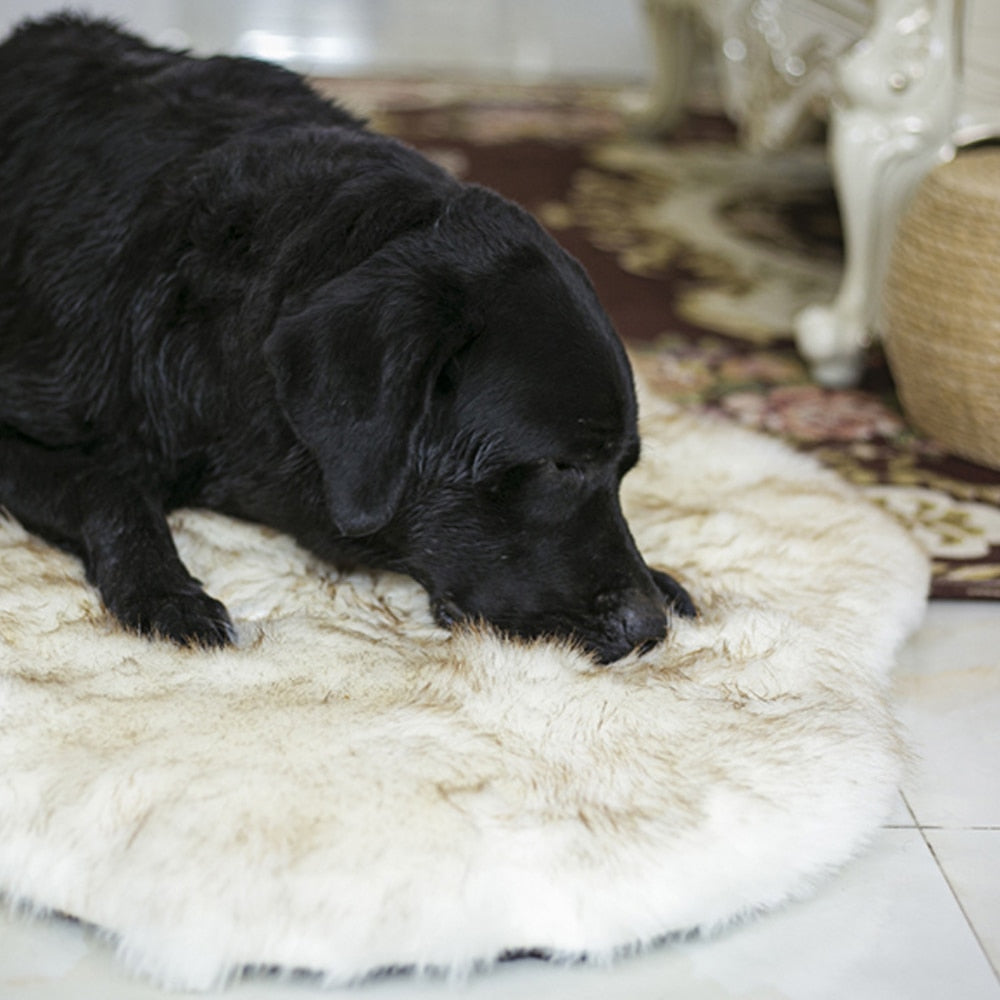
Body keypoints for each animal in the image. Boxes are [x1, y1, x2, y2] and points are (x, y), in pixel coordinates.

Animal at [0, 13, 696, 664]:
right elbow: (108, 486)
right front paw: (166, 593)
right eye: (559, 465)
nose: (648, 630)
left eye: (624, 470)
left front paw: (662, 578)